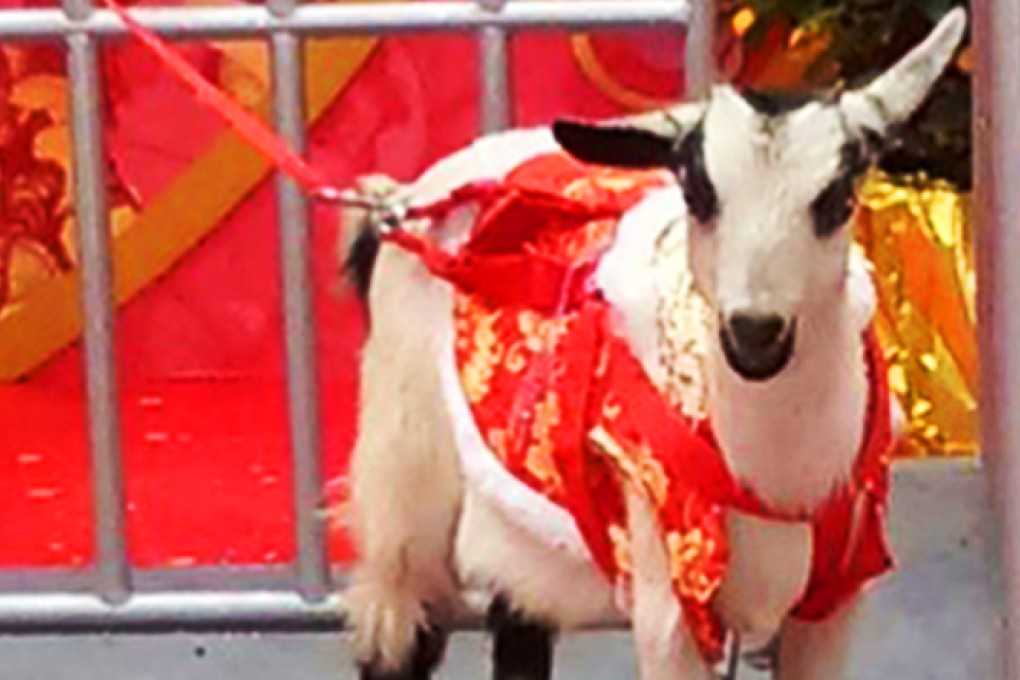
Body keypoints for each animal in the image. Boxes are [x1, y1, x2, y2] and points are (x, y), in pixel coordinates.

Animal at [340, 10, 962, 680]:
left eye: (839, 199)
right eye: (698, 193)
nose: (754, 333)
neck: (777, 478)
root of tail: (397, 205)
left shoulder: (833, 600)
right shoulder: (672, 593)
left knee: (519, 624)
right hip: (403, 474)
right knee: (399, 625)